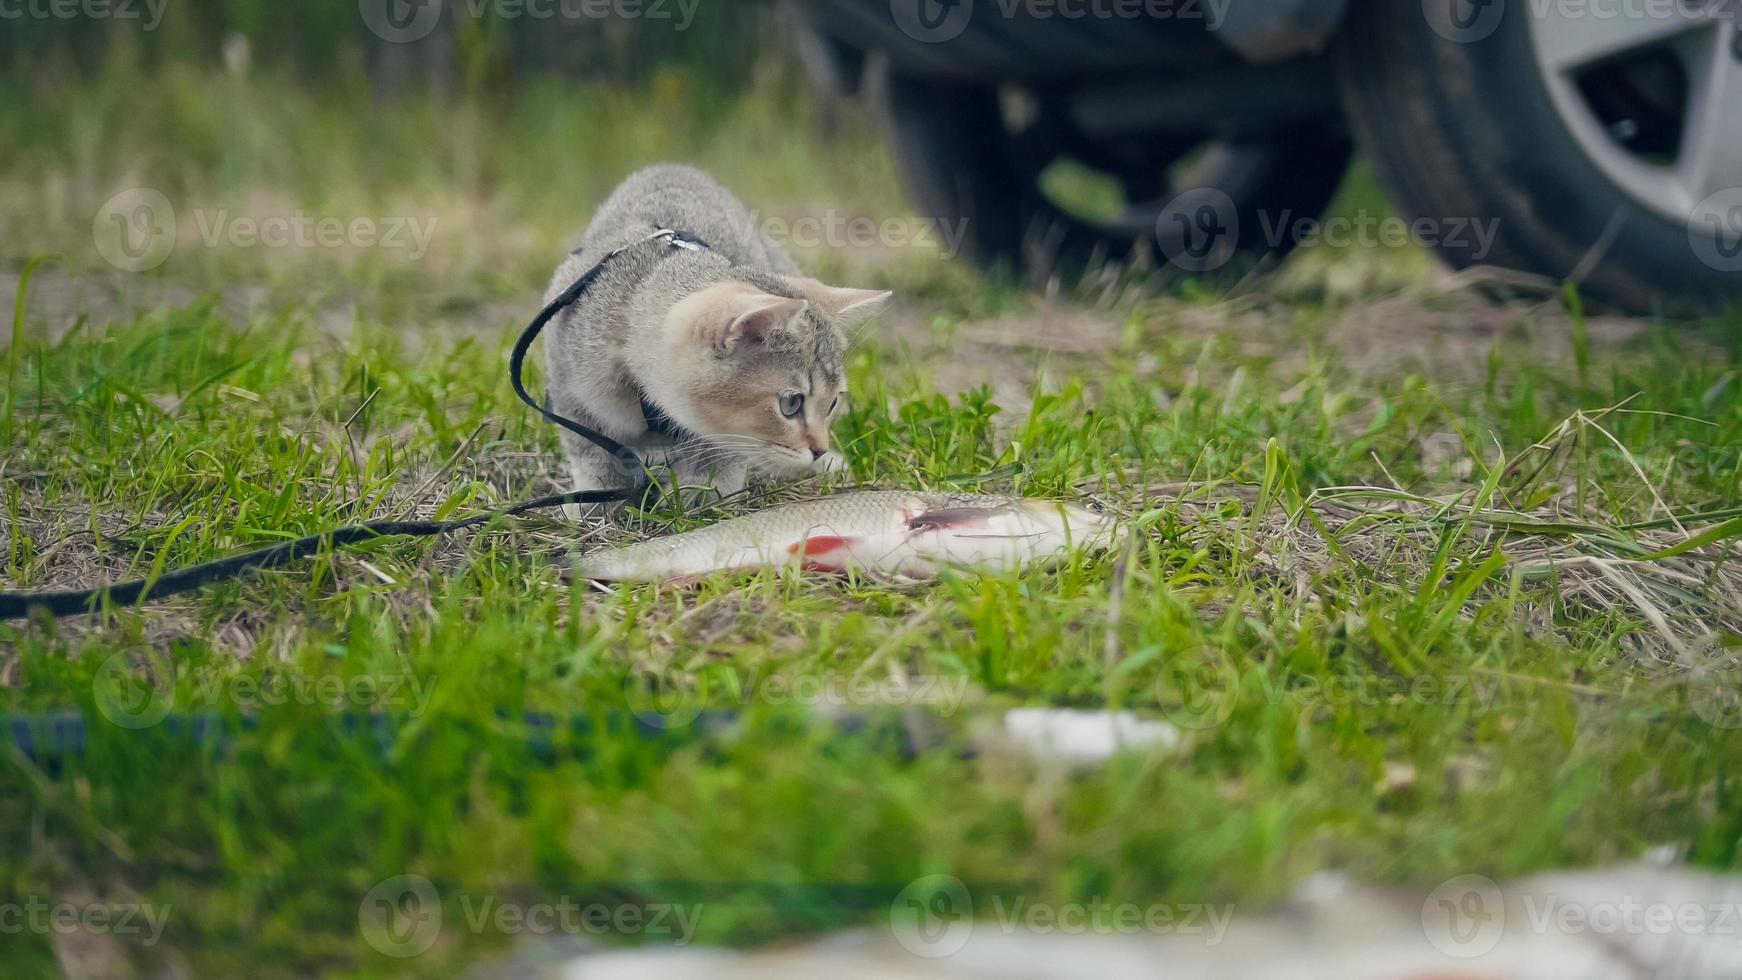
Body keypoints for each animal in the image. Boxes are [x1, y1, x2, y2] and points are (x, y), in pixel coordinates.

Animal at [540, 163, 898, 511]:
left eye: (833, 402)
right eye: (791, 404)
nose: (819, 449)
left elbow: (720, 454)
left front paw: (707, 496)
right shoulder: (565, 384)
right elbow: (589, 452)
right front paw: (597, 499)